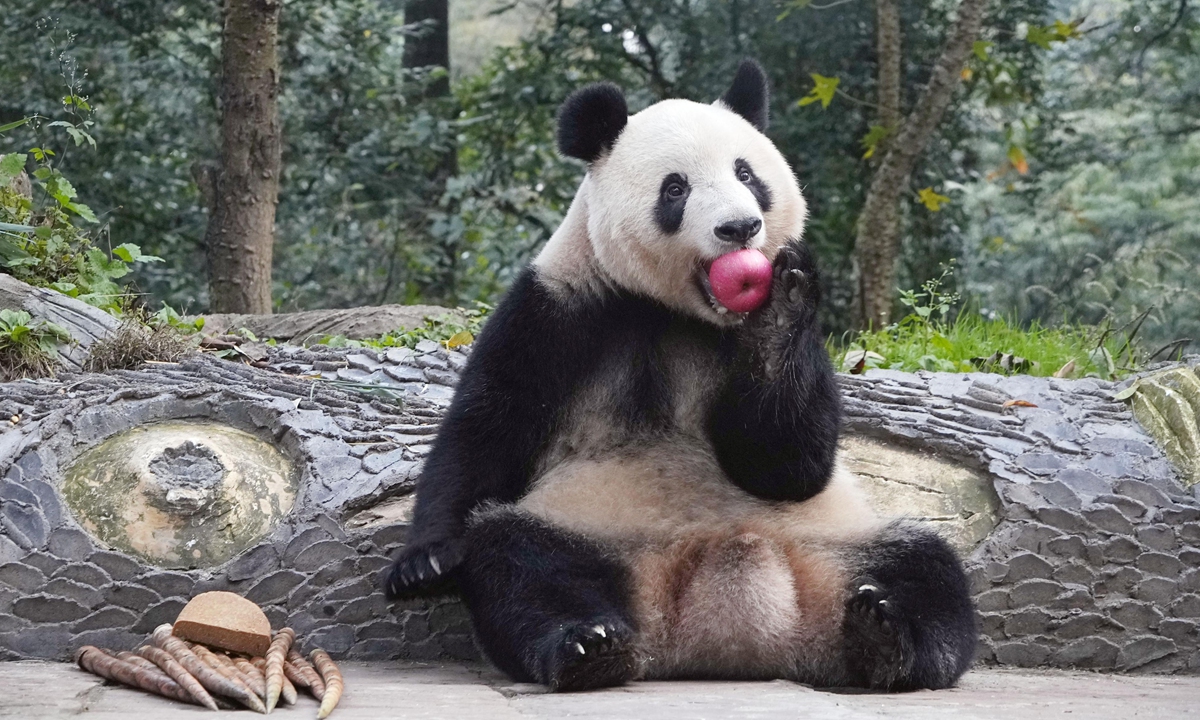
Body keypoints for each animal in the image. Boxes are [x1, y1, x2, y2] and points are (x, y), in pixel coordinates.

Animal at [384, 60, 977, 692]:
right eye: (676, 189)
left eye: (747, 173)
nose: (740, 228)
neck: (679, 312)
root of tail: (728, 631)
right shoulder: (561, 307)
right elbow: (487, 425)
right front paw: (424, 562)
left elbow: (788, 466)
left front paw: (785, 299)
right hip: (592, 530)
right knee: (518, 560)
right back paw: (588, 645)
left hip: (838, 543)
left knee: (925, 564)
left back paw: (887, 637)